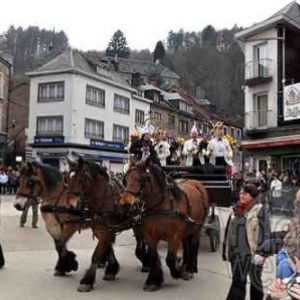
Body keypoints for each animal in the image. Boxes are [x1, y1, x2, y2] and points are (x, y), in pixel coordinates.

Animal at [65, 156, 150, 292]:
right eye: (67, 178)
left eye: (80, 179)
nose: (70, 207)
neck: (103, 197)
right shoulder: (100, 229)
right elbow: (107, 248)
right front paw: (112, 269)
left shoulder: (106, 230)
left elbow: (96, 254)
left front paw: (87, 281)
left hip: (138, 222)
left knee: (141, 241)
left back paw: (145, 262)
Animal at [119, 161, 209, 292]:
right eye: (125, 180)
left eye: (141, 180)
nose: (125, 204)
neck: (160, 206)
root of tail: (195, 182)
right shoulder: (149, 236)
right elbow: (154, 256)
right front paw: (153, 280)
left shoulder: (175, 236)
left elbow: (170, 259)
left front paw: (178, 271)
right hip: (187, 230)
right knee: (187, 245)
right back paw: (185, 264)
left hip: (196, 228)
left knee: (193, 245)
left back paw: (190, 269)